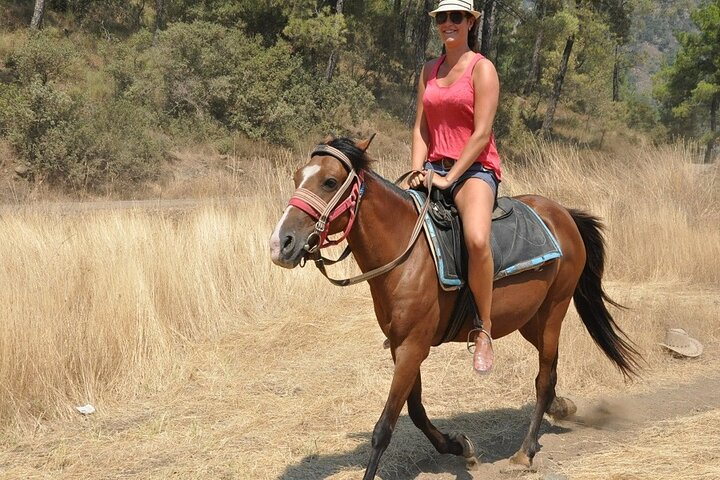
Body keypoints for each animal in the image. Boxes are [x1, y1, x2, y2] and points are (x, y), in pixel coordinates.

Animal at [268, 135, 636, 480]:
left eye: (330, 182)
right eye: (297, 176)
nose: (280, 244)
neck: (407, 253)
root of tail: (563, 214)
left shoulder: (413, 346)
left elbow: (384, 427)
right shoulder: (402, 345)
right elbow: (415, 410)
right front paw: (459, 446)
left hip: (552, 313)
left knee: (544, 379)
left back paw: (525, 452)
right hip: (529, 321)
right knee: (551, 373)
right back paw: (560, 408)